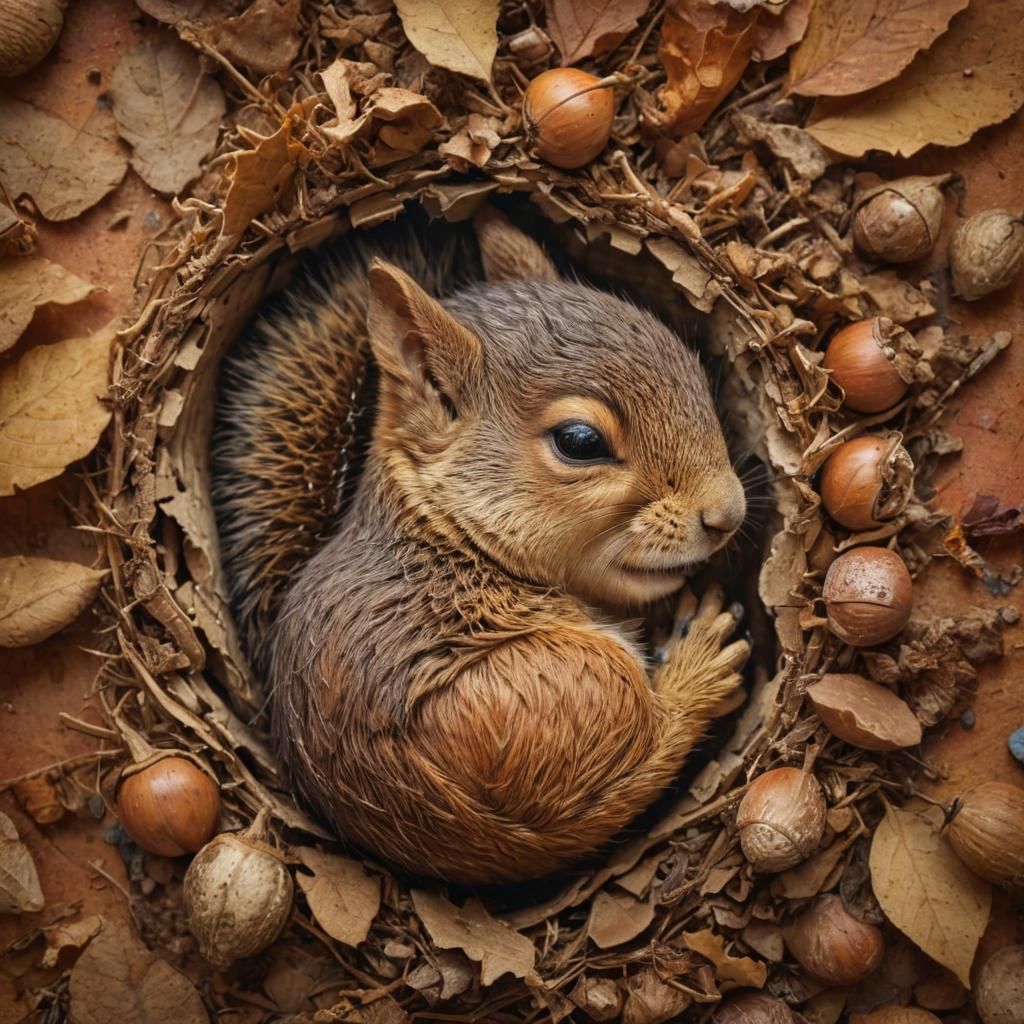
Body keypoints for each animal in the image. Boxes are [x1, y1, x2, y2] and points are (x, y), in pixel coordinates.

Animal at [211, 208, 748, 884]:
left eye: (686, 357)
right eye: (580, 441)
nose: (728, 515)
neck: (449, 547)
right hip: (574, 683)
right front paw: (697, 660)